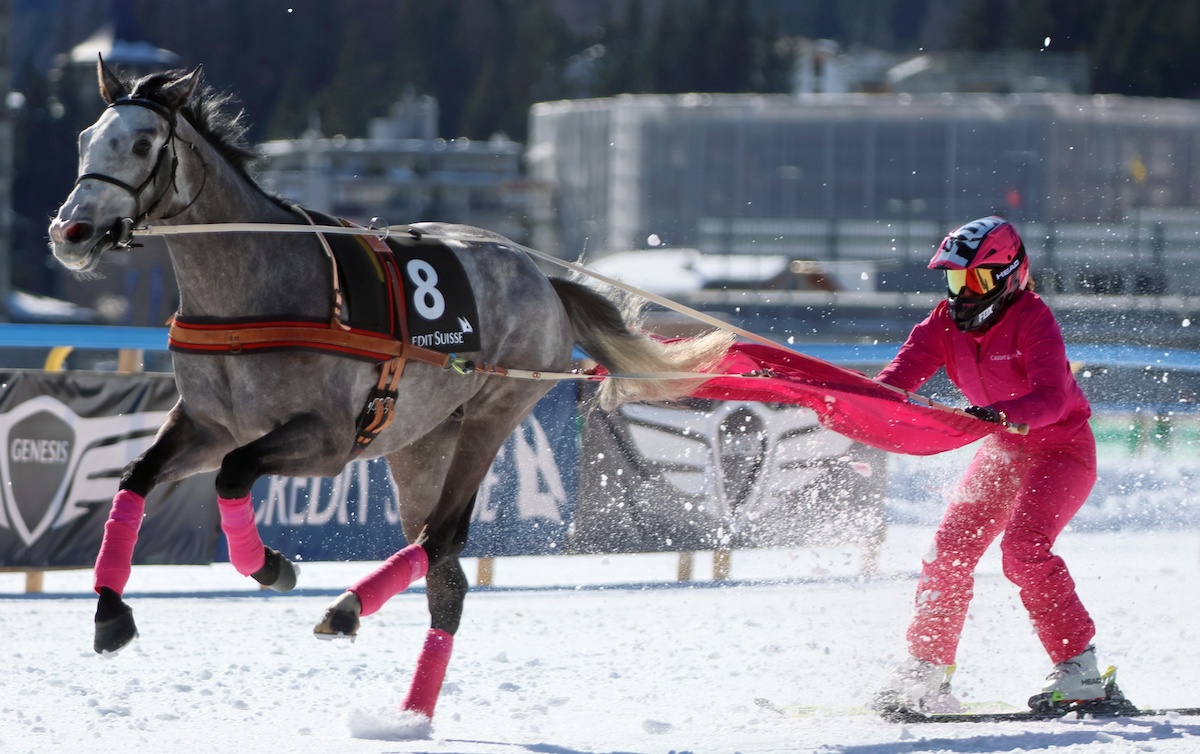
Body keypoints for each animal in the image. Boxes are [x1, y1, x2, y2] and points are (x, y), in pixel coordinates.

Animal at [46, 58, 729, 720]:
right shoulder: (209, 425)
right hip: (420, 443)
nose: (70, 232)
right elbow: (136, 476)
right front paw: (110, 611)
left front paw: (271, 566)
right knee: (447, 576)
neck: (254, 291)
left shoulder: (324, 440)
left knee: (441, 537)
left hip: (495, 412)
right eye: (83, 139)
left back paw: (348, 609)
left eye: (141, 143)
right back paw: (412, 711)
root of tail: (544, 279)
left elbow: (234, 476)